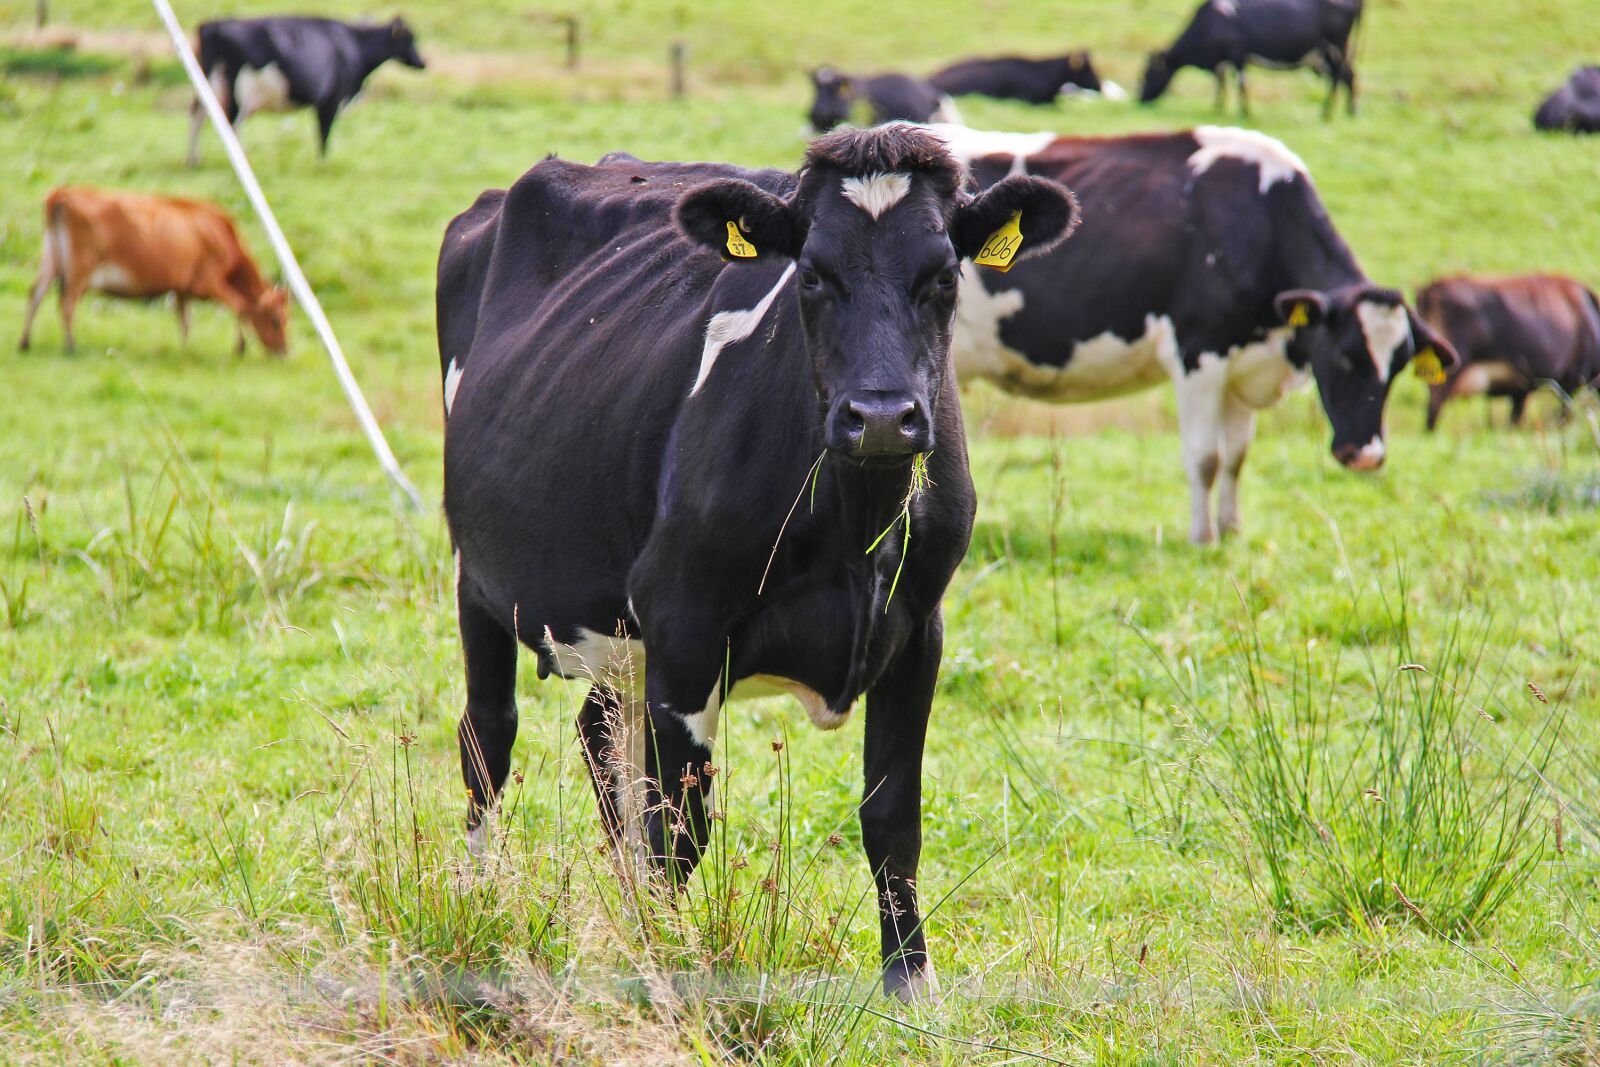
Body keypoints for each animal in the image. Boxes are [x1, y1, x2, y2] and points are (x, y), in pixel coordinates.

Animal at [18, 186, 289, 356]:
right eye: (276, 320)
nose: (284, 352)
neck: (219, 234)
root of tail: (64, 193)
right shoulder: (209, 282)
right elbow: (240, 307)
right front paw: (240, 347)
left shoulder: (182, 289)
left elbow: (185, 320)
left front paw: (185, 349)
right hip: (79, 272)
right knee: (66, 303)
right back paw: (70, 345)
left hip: (50, 261)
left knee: (35, 294)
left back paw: (25, 342)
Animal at [186, 15, 426, 164]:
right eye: (410, 40)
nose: (423, 63)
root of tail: (215, 26)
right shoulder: (331, 99)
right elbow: (324, 133)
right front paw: (322, 164)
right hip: (239, 91)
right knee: (232, 123)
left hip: (209, 83)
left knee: (198, 115)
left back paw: (194, 160)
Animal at [435, 125, 1077, 999]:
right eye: (812, 274)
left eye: (944, 275)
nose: (882, 416)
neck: (854, 526)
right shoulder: (685, 619)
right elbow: (679, 828)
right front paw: (671, 965)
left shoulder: (920, 626)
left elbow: (892, 817)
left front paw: (909, 980)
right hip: (482, 577)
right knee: (488, 739)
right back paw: (478, 901)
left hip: (618, 629)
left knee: (597, 734)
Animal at [925, 122, 1457, 545]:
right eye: (1345, 356)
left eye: (1399, 367)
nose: (1367, 456)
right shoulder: (1200, 353)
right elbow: (1206, 457)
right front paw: (1203, 539)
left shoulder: (1243, 368)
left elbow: (1237, 457)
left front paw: (1233, 531)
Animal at [1140, 0, 1363, 118]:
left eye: (1148, 75)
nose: (1139, 100)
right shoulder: (1223, 60)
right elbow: (1221, 82)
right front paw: (1218, 108)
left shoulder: (1237, 53)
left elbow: (1241, 83)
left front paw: (1245, 112)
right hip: (1323, 54)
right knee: (1343, 76)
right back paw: (1346, 112)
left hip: (1336, 46)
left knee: (1344, 75)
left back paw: (1329, 113)